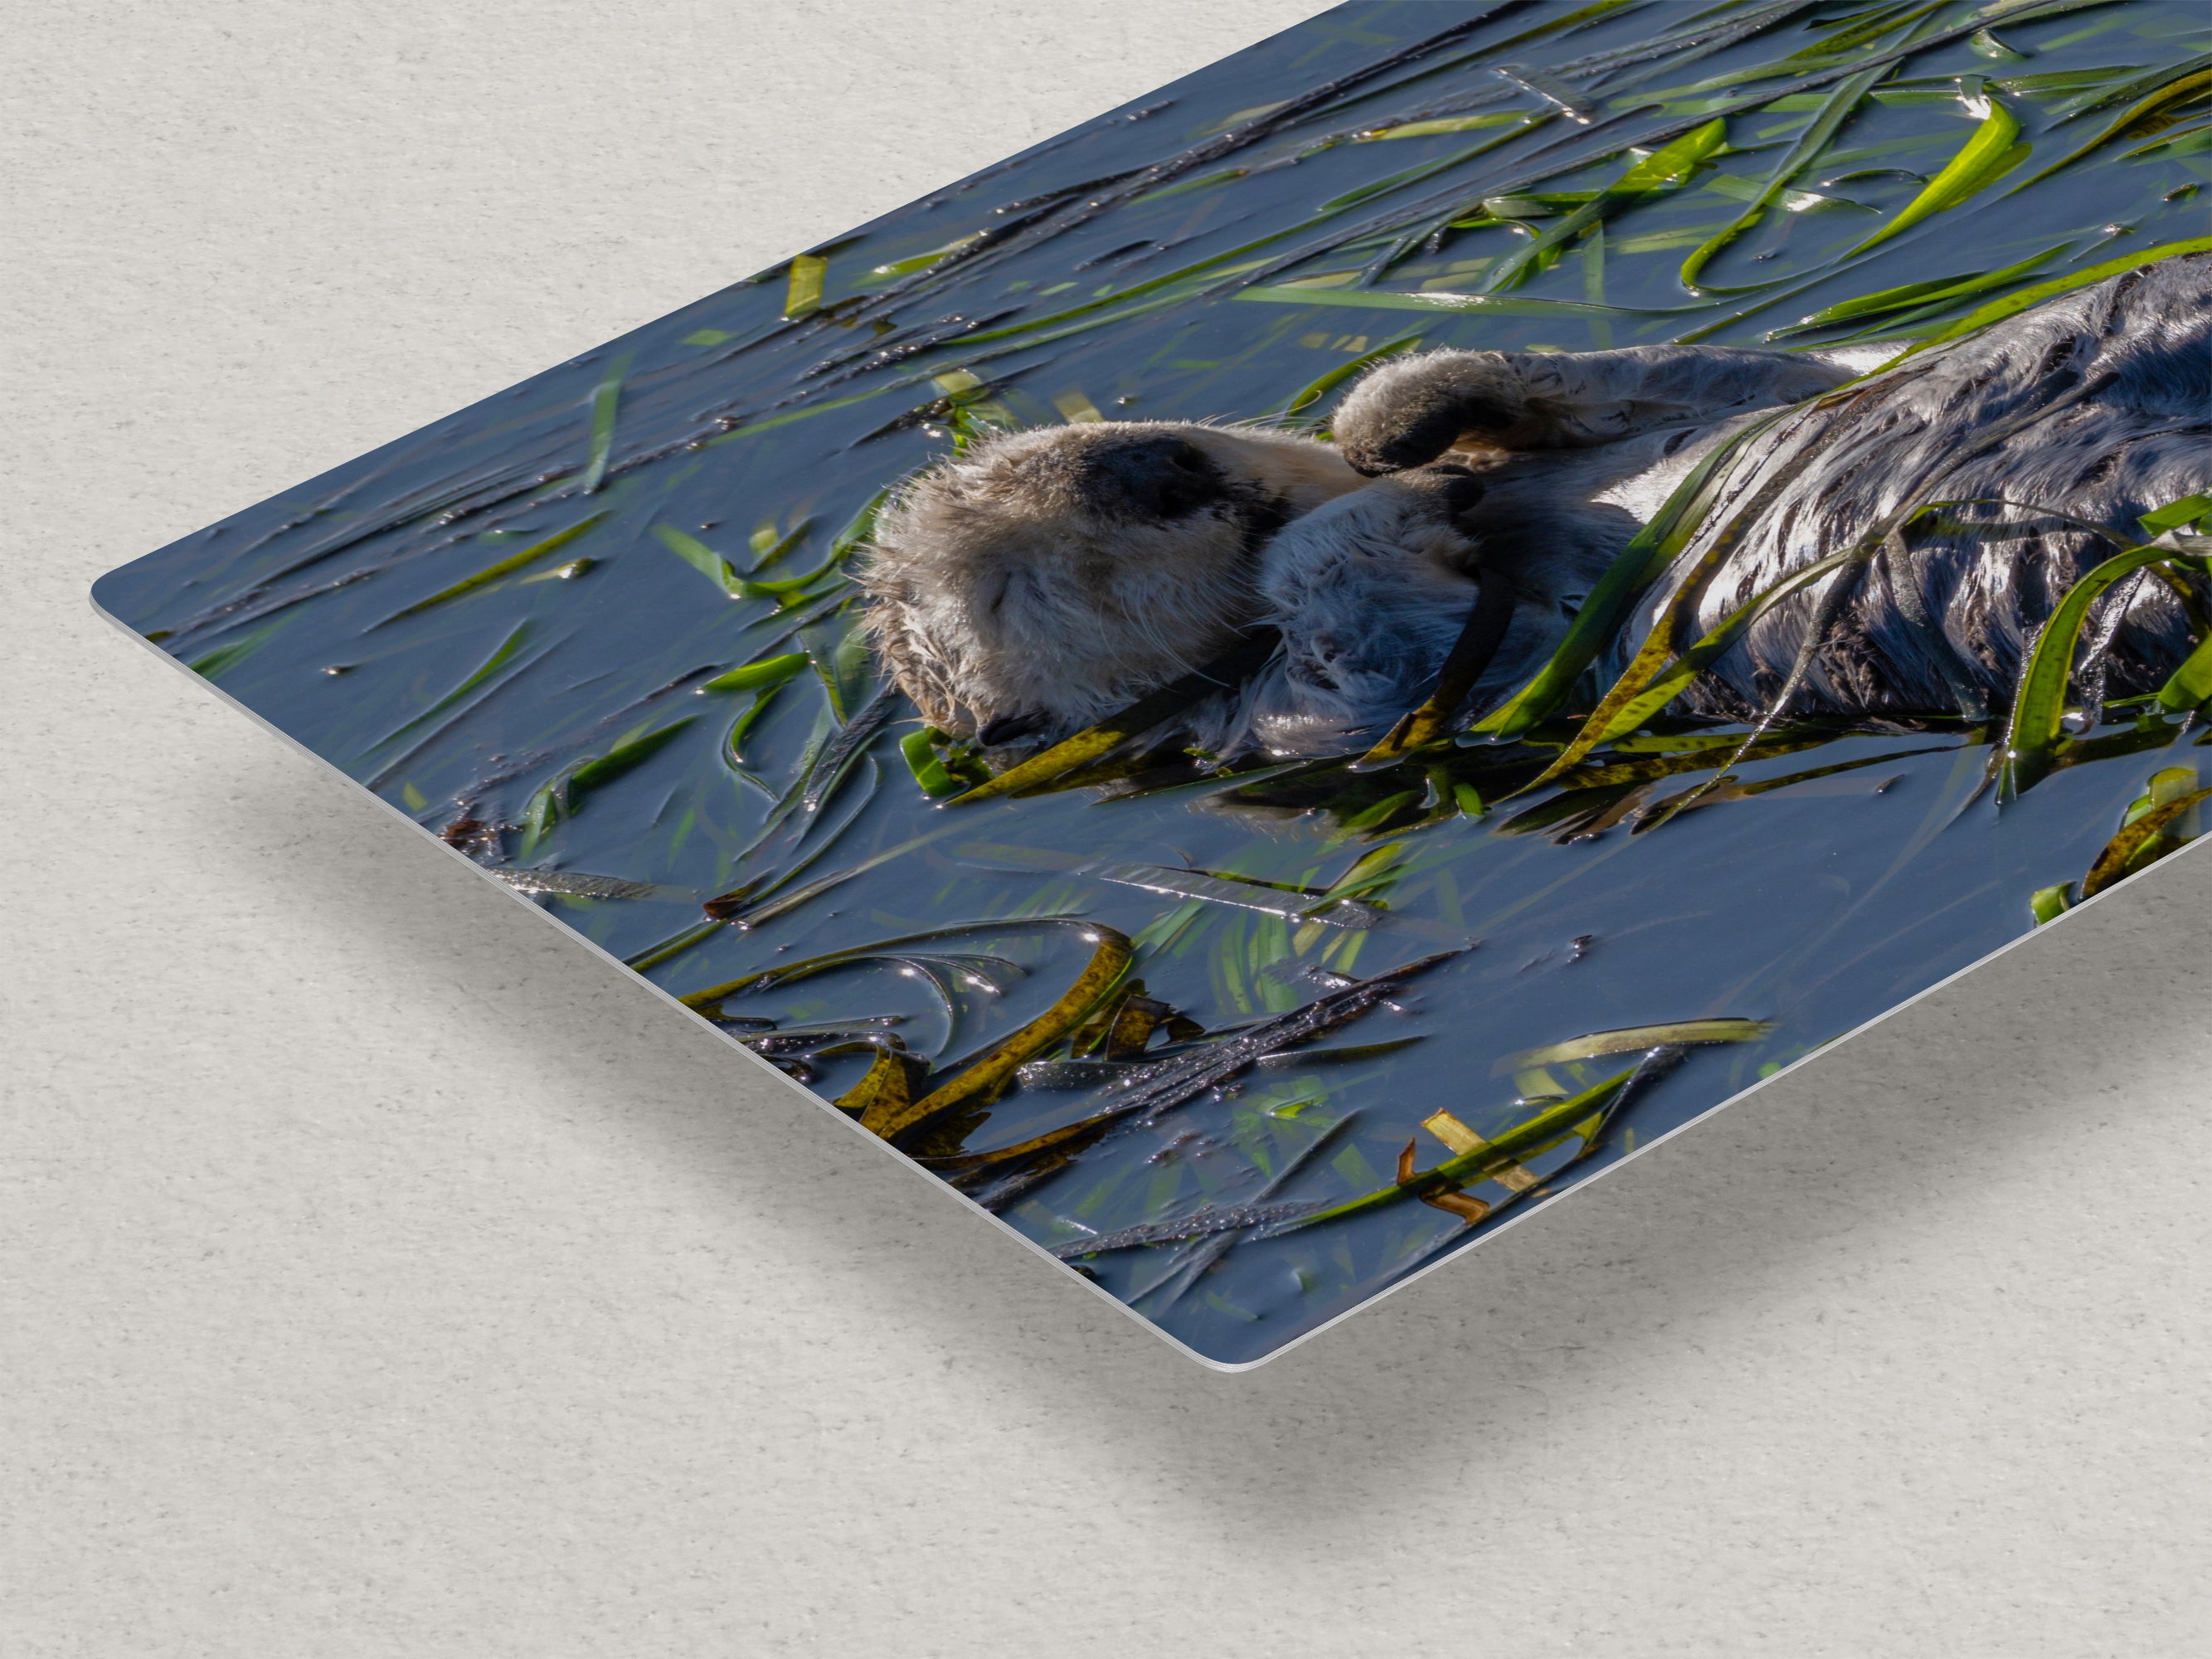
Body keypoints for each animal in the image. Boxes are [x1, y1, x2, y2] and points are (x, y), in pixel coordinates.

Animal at [859, 252, 2210, 760]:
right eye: (1009, 589)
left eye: (1083, 444)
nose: (1154, 472)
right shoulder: (1311, 712)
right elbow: (1361, 633)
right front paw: (1408, 490)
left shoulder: (1719, 382)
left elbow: (1731, 371)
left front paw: (1394, 422)